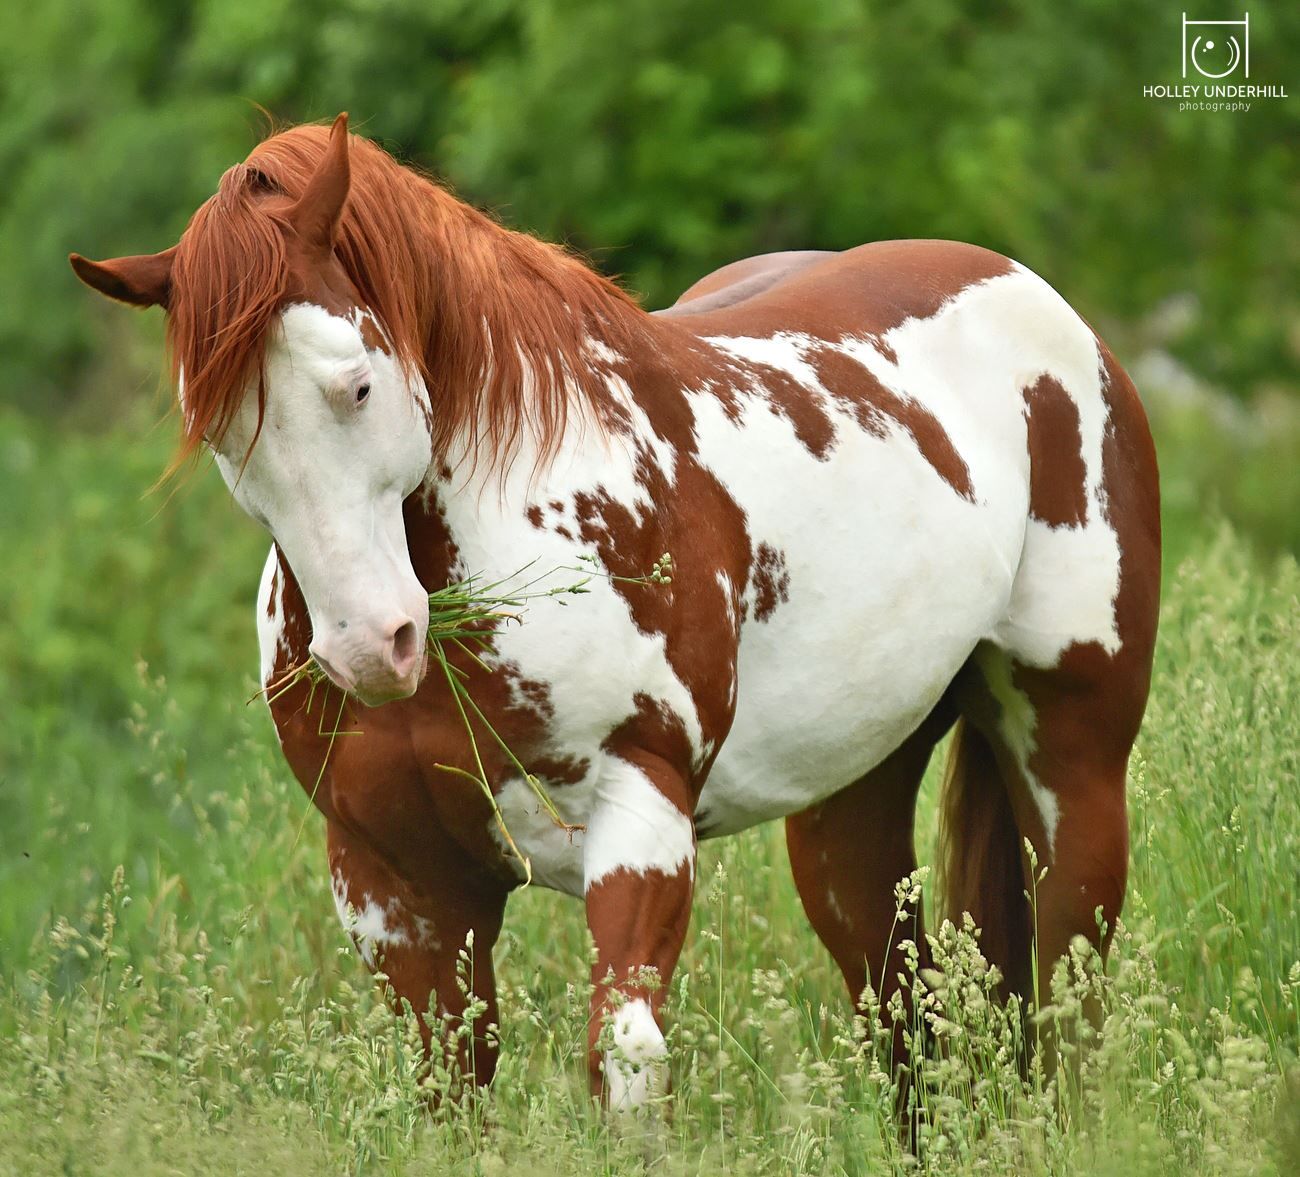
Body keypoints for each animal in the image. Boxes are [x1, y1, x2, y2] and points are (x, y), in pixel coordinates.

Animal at [73, 112, 1159, 1113]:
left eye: (358, 383)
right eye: (214, 427)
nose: (371, 648)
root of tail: (1034, 299)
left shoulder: (637, 817)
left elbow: (625, 1066)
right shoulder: (397, 885)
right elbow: (454, 1086)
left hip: (1072, 769)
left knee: (1067, 1000)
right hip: (850, 804)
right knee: (905, 1021)